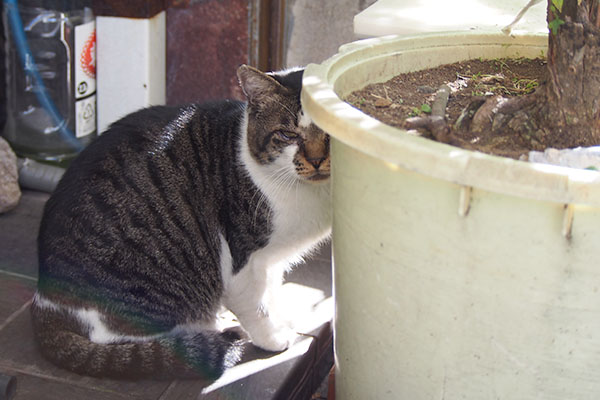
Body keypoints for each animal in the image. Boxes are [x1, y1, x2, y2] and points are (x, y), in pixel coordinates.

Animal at [31, 65, 332, 382]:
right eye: (287, 134)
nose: (316, 160)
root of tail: (46, 303)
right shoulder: (244, 261)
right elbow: (256, 307)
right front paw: (274, 338)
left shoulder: (271, 261)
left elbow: (271, 292)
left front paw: (281, 318)